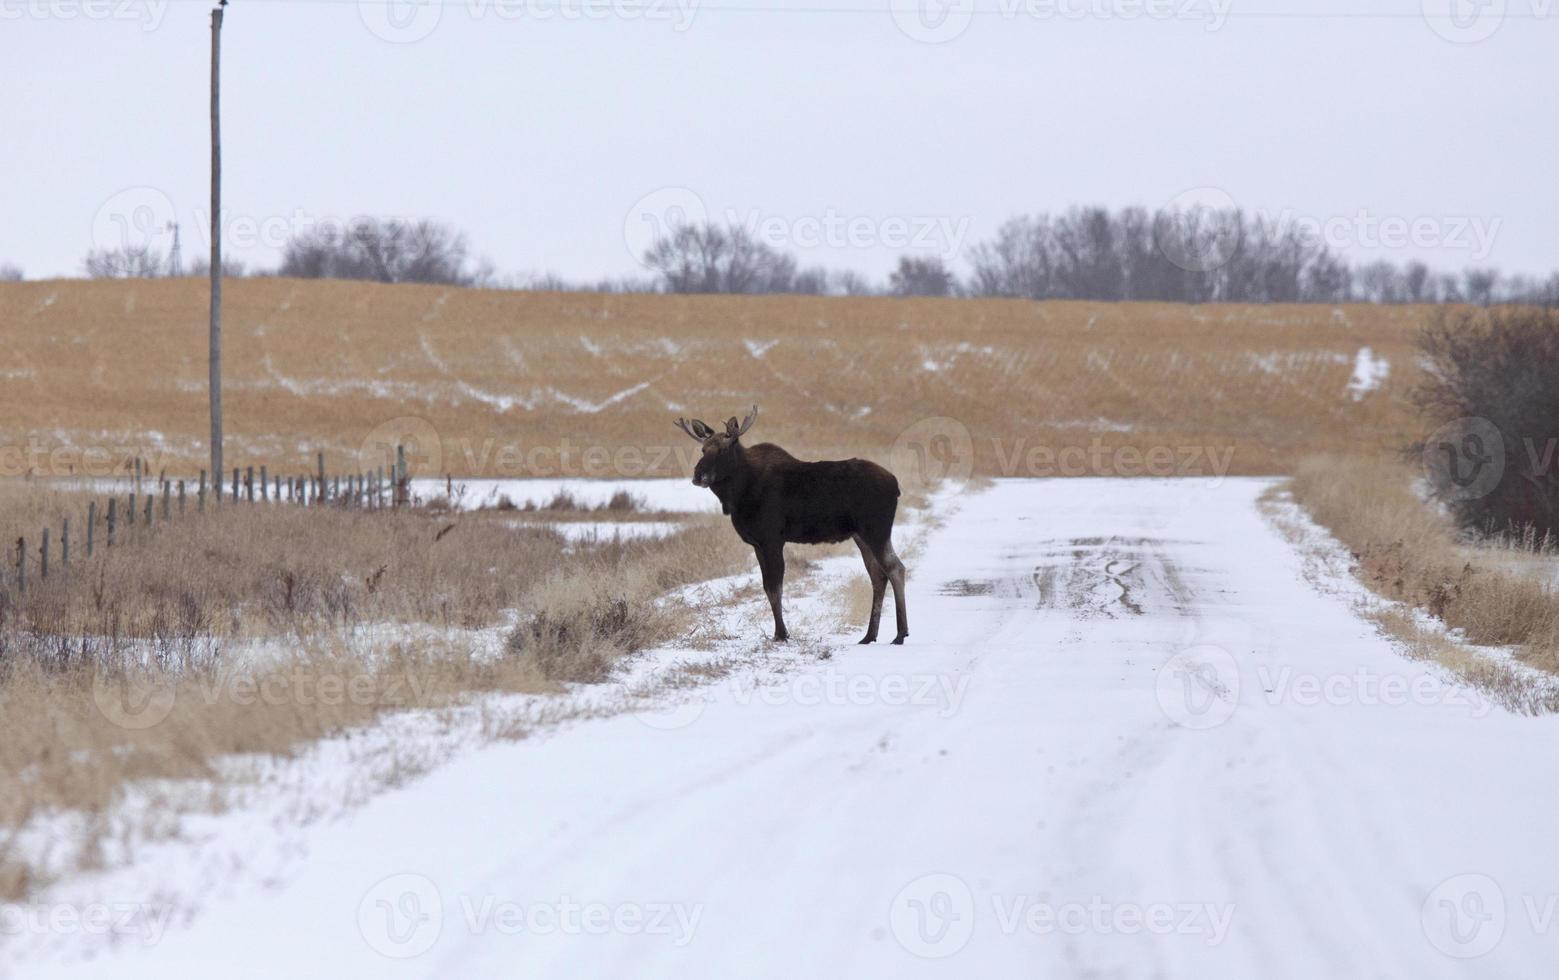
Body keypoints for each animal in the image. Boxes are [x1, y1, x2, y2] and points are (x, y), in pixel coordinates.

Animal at [676, 401, 910, 641]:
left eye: (722, 450)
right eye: (703, 450)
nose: (698, 475)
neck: (737, 495)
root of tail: (895, 485)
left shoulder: (772, 539)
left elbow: (775, 588)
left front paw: (782, 634)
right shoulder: (757, 544)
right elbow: (767, 588)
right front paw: (779, 632)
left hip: (876, 529)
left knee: (896, 568)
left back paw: (900, 634)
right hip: (860, 535)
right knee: (878, 575)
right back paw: (869, 635)